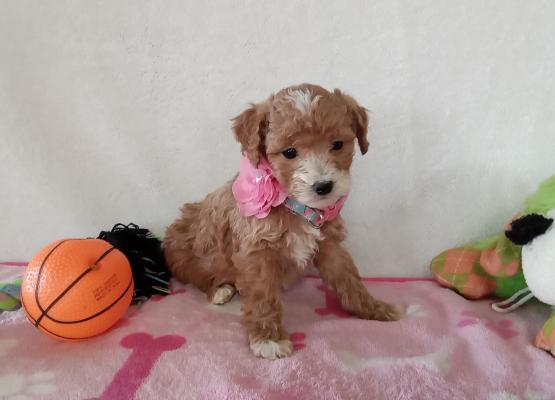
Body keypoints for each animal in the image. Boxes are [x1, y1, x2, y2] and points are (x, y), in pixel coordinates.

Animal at [163, 83, 399, 359]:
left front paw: (374, 308)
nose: (324, 186)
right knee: (196, 274)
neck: (297, 206)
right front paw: (268, 339)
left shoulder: (329, 244)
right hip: (180, 253)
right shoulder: (257, 252)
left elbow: (349, 279)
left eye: (337, 144)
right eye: (289, 152)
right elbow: (262, 296)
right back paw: (220, 290)